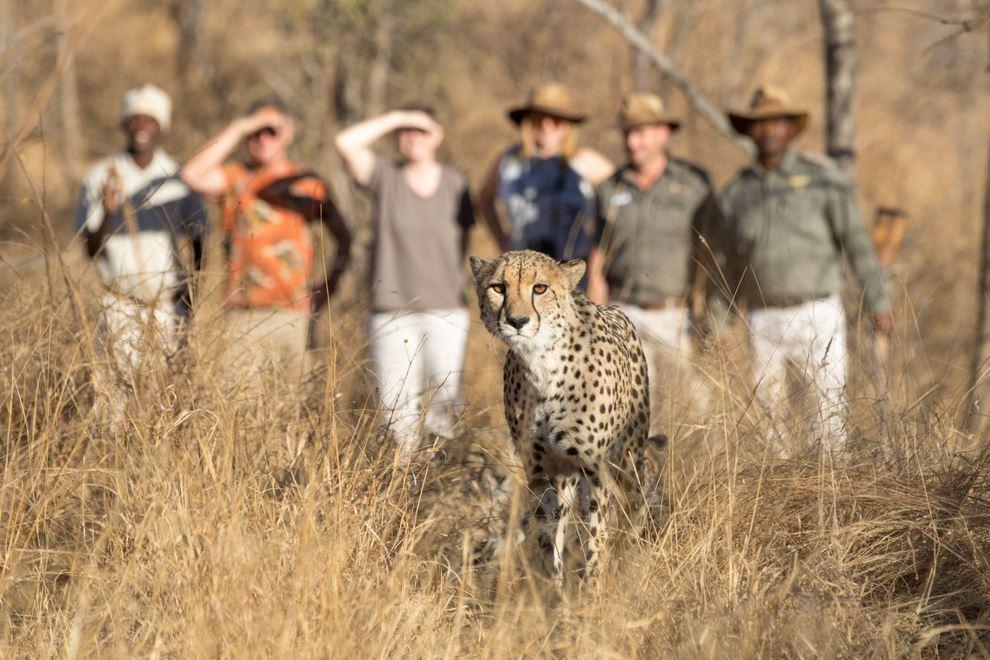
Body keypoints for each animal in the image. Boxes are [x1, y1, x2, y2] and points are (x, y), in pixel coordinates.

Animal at [470, 249, 656, 582]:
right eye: (498, 288)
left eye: (540, 288)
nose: (517, 321)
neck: (542, 363)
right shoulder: (541, 471)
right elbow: (547, 535)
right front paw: (552, 587)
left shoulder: (595, 471)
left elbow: (594, 540)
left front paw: (592, 587)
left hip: (628, 461)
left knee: (635, 508)